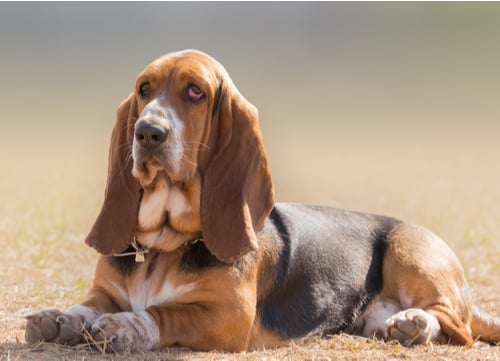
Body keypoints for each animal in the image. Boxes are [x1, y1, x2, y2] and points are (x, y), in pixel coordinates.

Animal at [25, 49, 500, 350]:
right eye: (144, 89)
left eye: (195, 91)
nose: (147, 132)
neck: (163, 245)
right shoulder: (104, 290)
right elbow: (88, 304)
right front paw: (62, 318)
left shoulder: (228, 314)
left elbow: (164, 313)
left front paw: (124, 325)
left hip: (410, 251)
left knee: (456, 325)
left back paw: (415, 322)